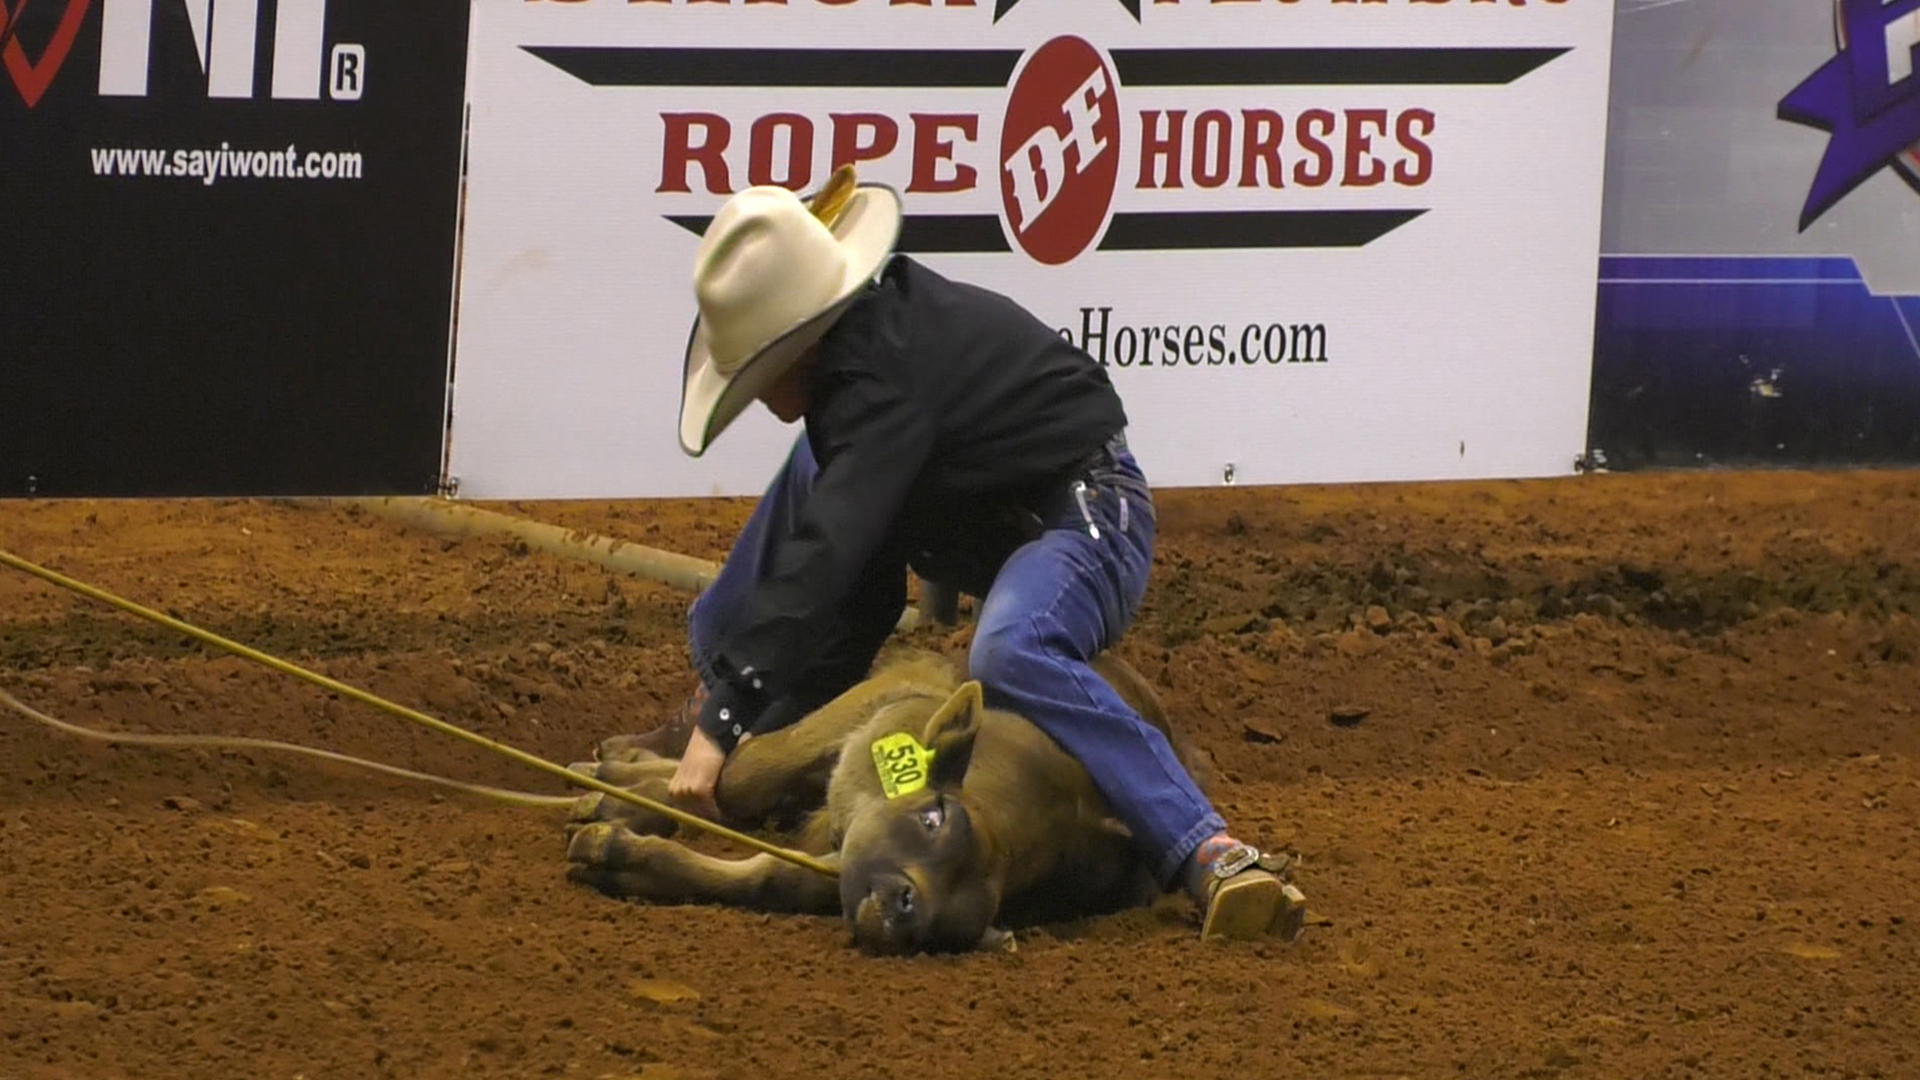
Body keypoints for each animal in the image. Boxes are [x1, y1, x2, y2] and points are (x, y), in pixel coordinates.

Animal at [562, 647, 1305, 955]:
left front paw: (619, 853)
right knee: (749, 769)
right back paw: (612, 770)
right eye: (932, 816)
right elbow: (746, 776)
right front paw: (616, 804)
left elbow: (771, 874)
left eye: (958, 927)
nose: (902, 910)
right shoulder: (886, 709)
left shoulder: (833, 851)